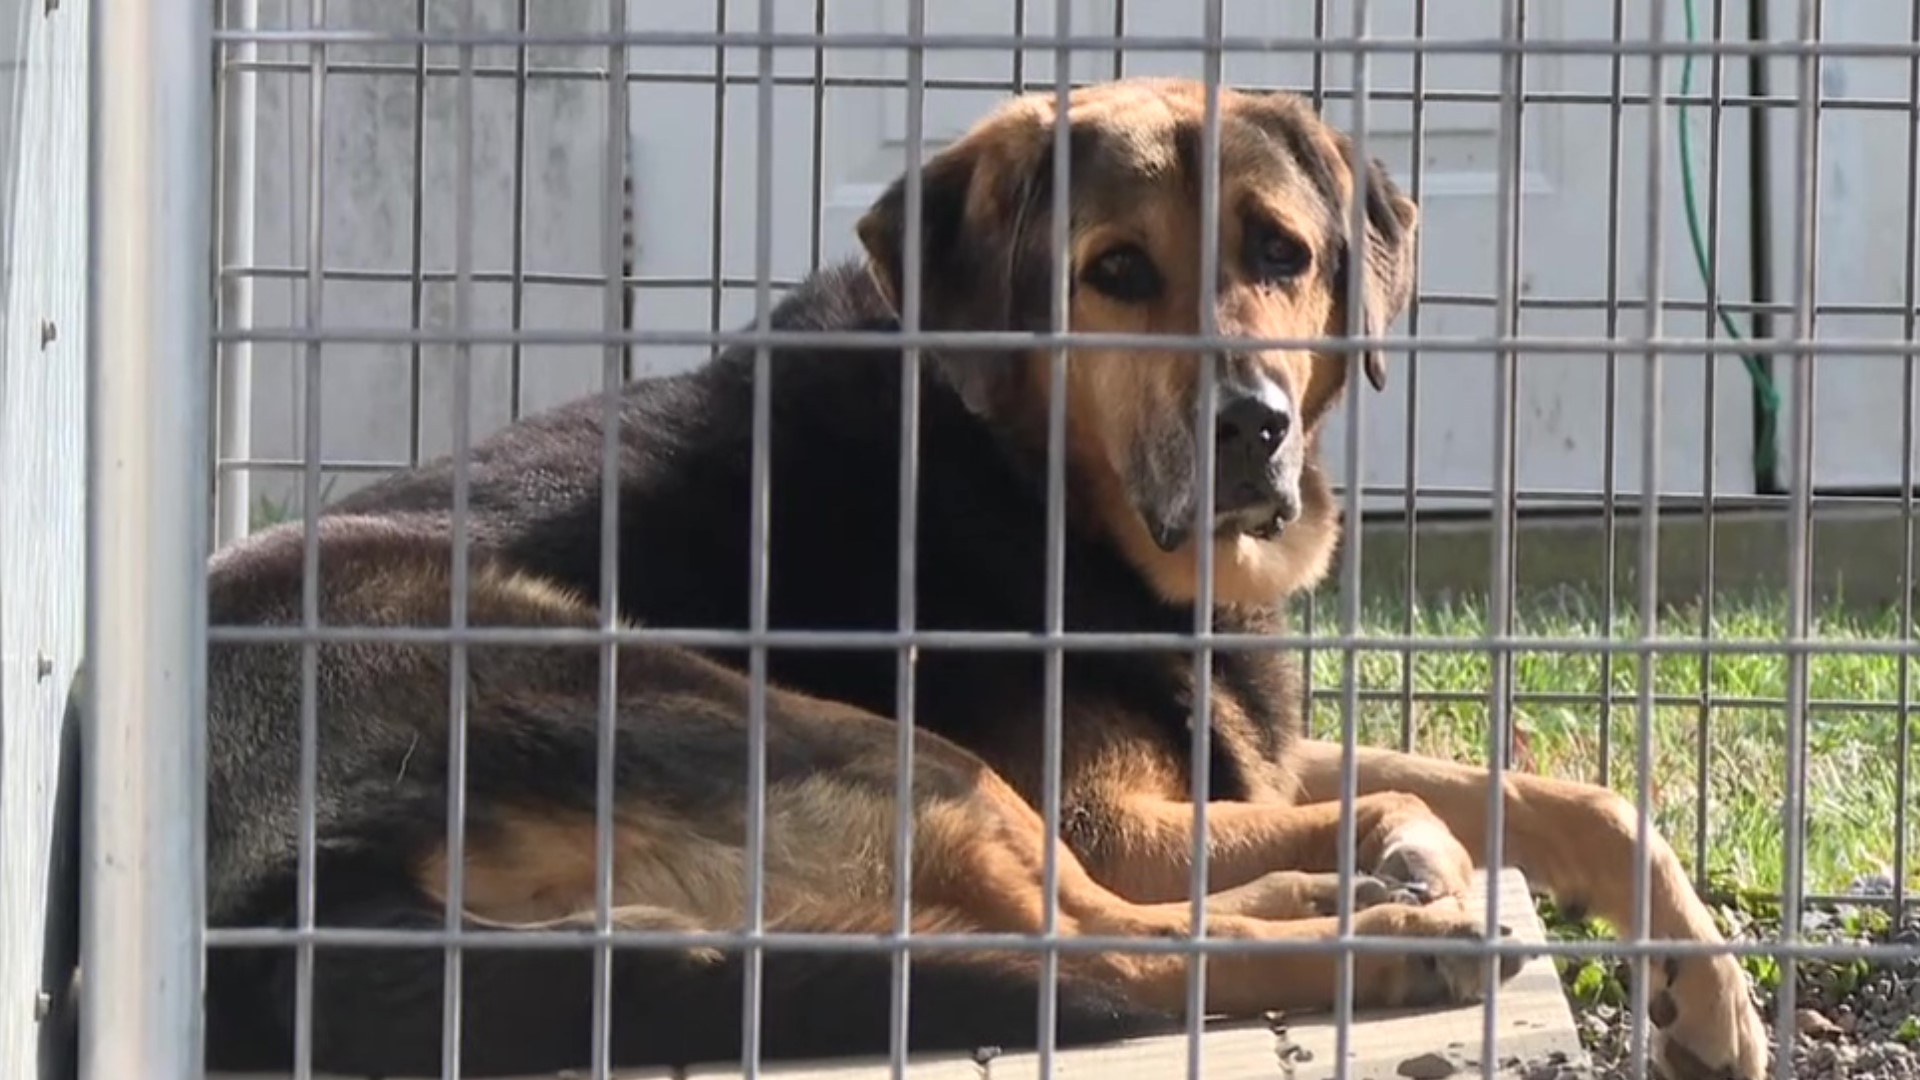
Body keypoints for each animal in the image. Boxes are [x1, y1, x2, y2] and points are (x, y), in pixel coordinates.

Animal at [198, 77, 1766, 1076]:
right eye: (1115, 271)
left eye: (1283, 252)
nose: (1251, 423)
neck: (1026, 475)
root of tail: (272, 905)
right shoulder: (1109, 810)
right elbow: (1395, 805)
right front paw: (1416, 862)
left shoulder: (1244, 759)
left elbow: (1565, 794)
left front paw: (1705, 990)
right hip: (747, 711)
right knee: (1102, 949)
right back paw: (1387, 932)